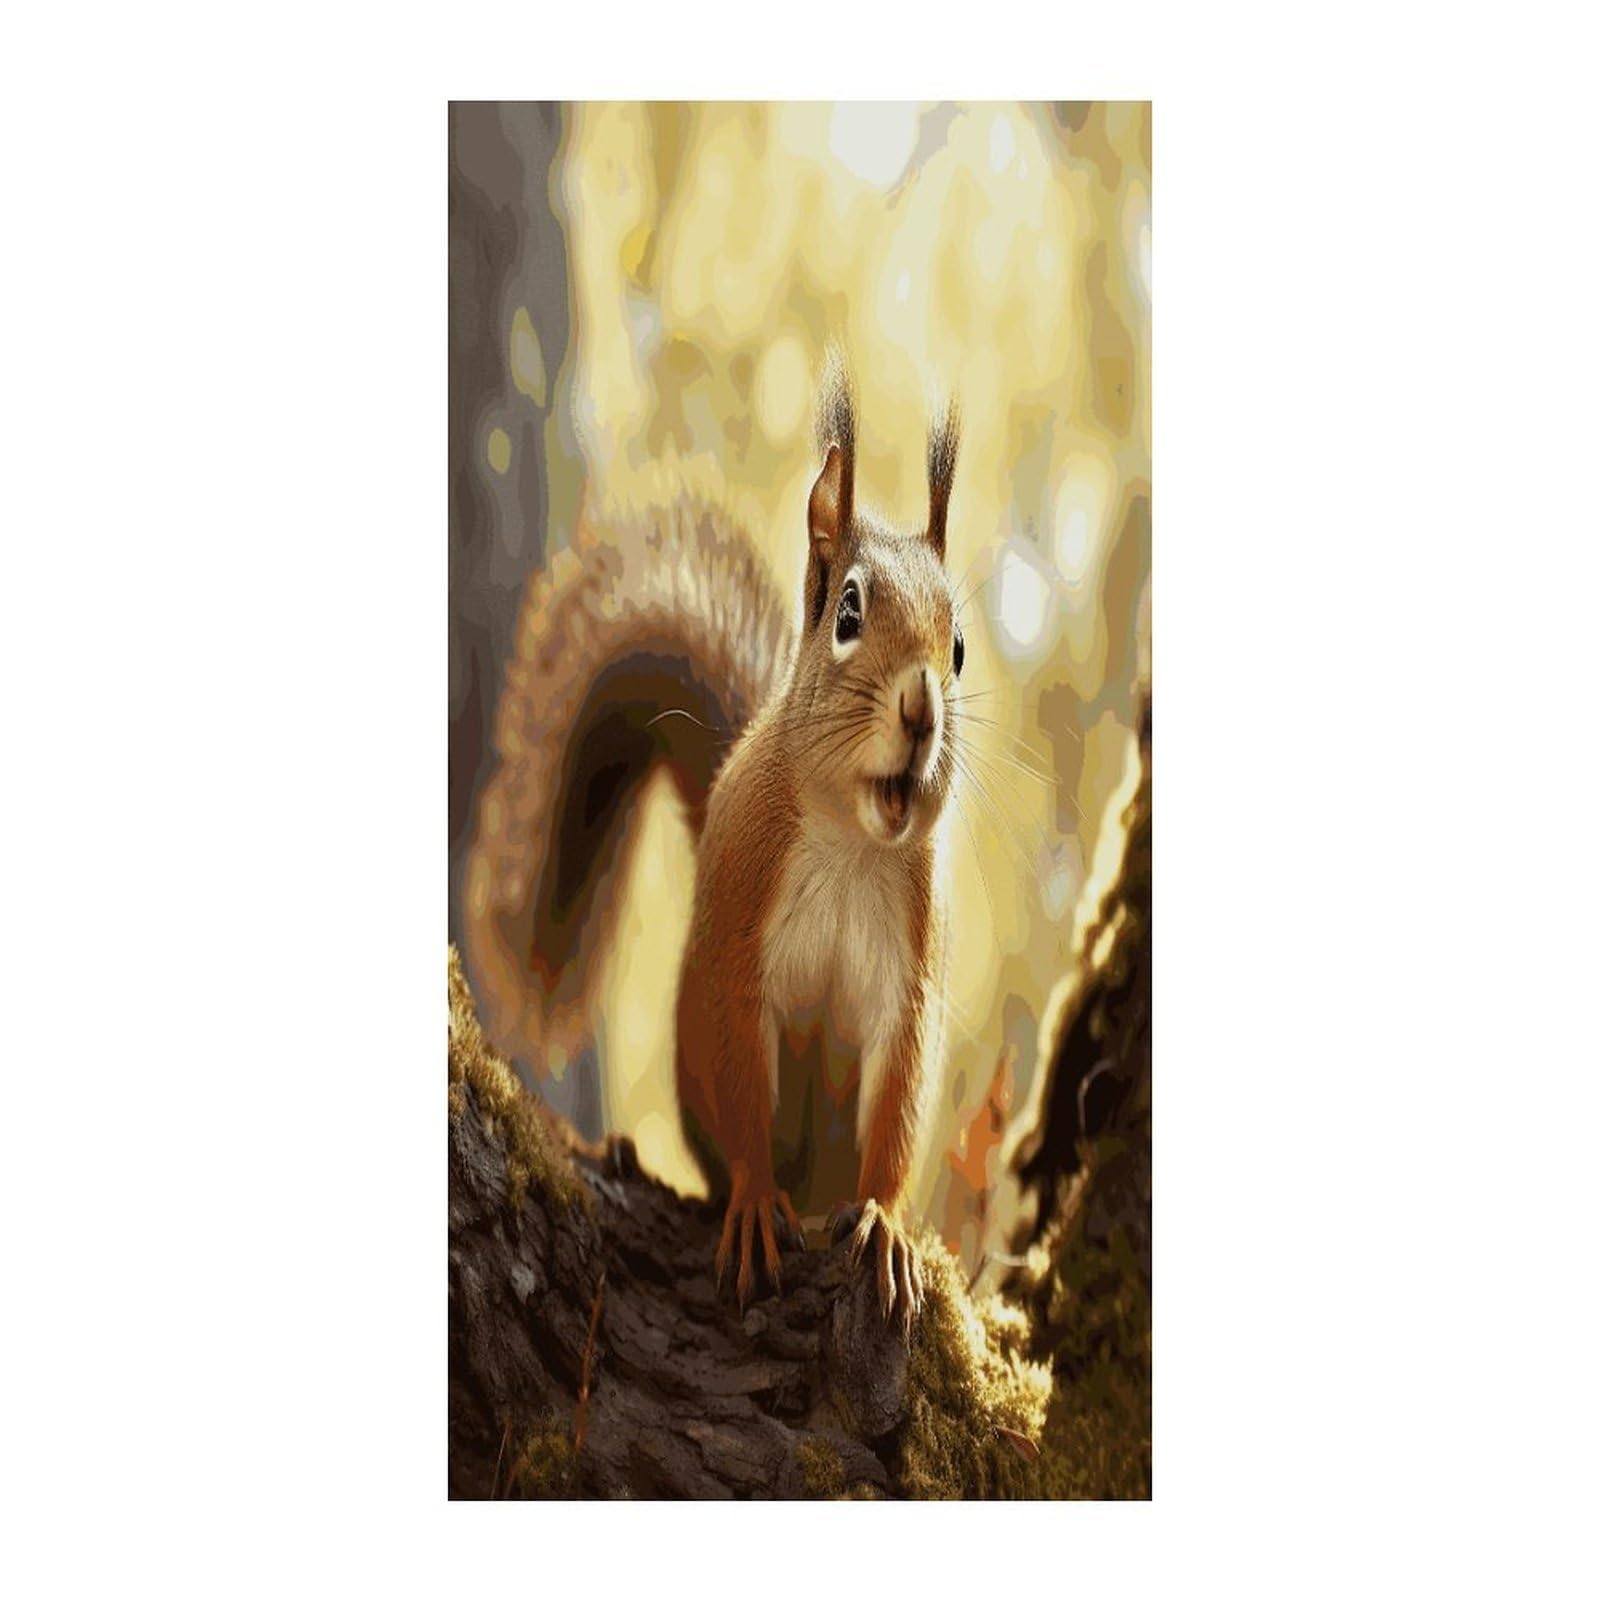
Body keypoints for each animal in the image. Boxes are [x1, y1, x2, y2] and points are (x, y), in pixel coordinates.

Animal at [464, 358, 965, 1329]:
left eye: (958, 646)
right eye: (849, 612)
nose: (922, 709)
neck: (849, 840)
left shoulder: (912, 965)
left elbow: (899, 1094)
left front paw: (886, 1221)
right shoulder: (741, 918)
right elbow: (744, 1073)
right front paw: (754, 1202)